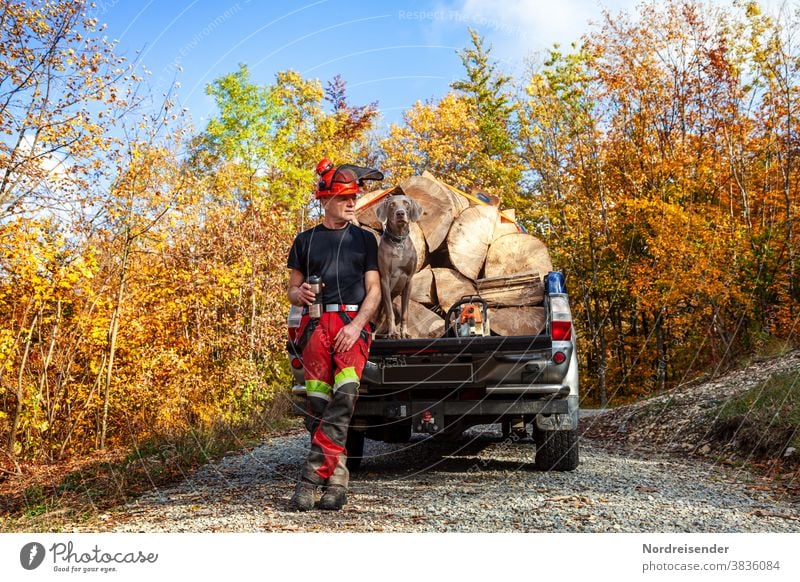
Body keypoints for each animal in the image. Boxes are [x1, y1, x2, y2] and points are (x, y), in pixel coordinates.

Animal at [376, 194, 424, 340]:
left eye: (406, 203)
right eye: (392, 205)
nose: (400, 213)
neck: (398, 240)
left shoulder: (409, 280)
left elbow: (405, 313)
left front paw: (404, 333)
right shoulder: (385, 279)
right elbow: (389, 312)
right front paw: (393, 332)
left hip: (396, 305)